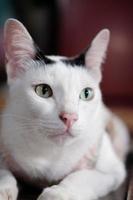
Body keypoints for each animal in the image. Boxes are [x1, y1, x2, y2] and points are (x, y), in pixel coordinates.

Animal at [0, 18, 129, 200]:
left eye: (87, 93)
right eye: (43, 90)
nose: (70, 117)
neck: (51, 153)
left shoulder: (113, 171)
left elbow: (82, 176)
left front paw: (59, 193)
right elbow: (3, 171)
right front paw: (3, 188)